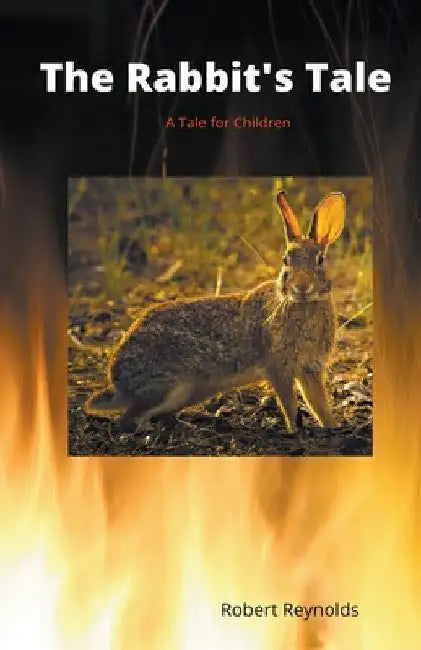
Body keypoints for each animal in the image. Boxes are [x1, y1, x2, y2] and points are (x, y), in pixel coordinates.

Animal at [85, 189, 346, 434]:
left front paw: (332, 427)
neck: (303, 304)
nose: (301, 287)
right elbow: (290, 405)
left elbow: (318, 404)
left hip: (187, 392)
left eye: (320, 260)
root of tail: (118, 380)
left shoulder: (311, 368)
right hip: (167, 386)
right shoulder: (279, 368)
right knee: (127, 419)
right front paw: (295, 430)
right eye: (285, 260)